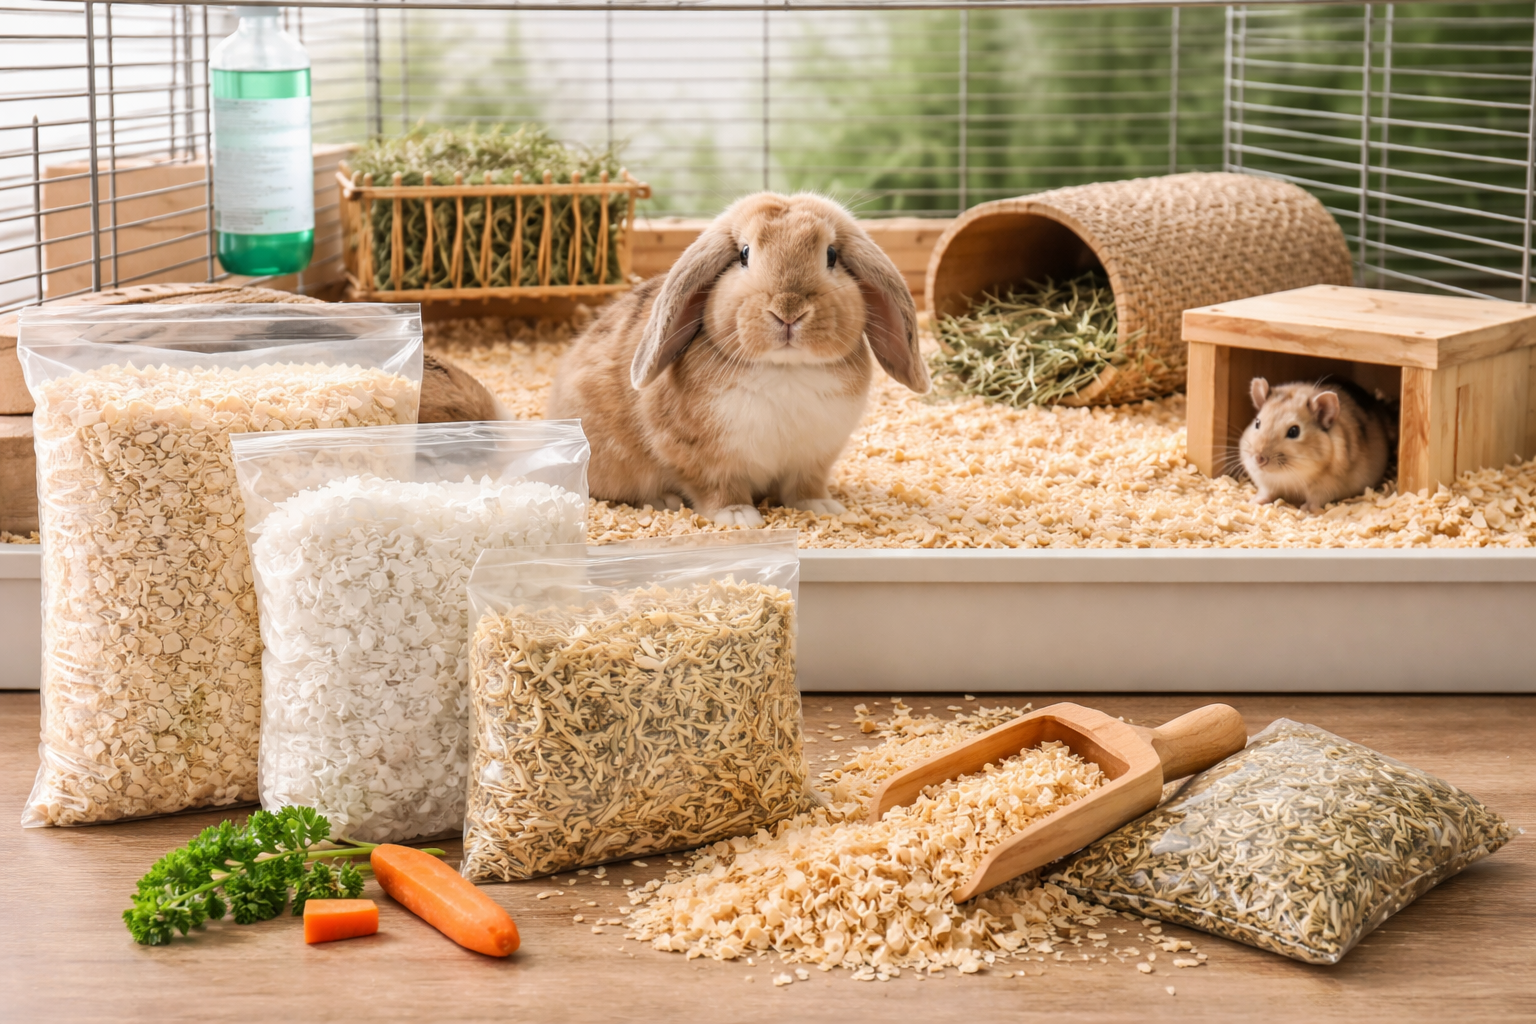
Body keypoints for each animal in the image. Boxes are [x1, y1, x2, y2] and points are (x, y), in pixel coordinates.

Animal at [1239, 376, 1393, 512]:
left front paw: (1305, 510)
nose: (1259, 459)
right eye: (1257, 423)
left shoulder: (1325, 488)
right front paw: (1252, 501)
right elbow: (1266, 493)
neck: (1289, 473)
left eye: (1294, 431)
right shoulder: (1267, 484)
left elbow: (1314, 501)